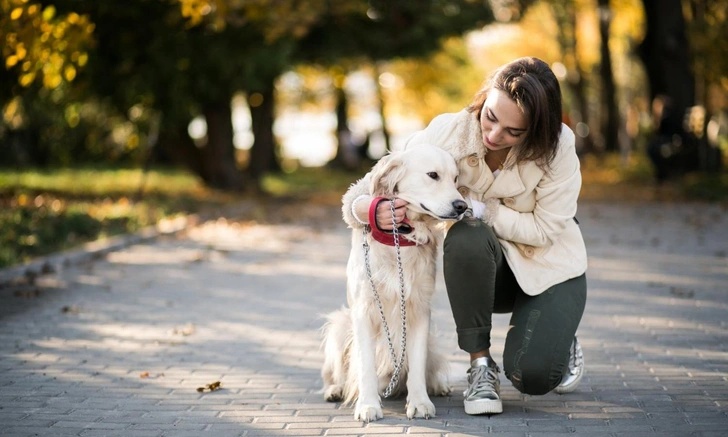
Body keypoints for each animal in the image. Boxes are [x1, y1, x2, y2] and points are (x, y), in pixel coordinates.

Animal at [322, 145, 470, 420]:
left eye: (456, 178)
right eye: (433, 175)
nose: (461, 206)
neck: (398, 237)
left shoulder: (419, 310)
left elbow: (418, 363)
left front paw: (419, 402)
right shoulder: (364, 310)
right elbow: (365, 365)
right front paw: (368, 405)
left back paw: (438, 385)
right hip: (339, 326)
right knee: (337, 372)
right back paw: (334, 389)